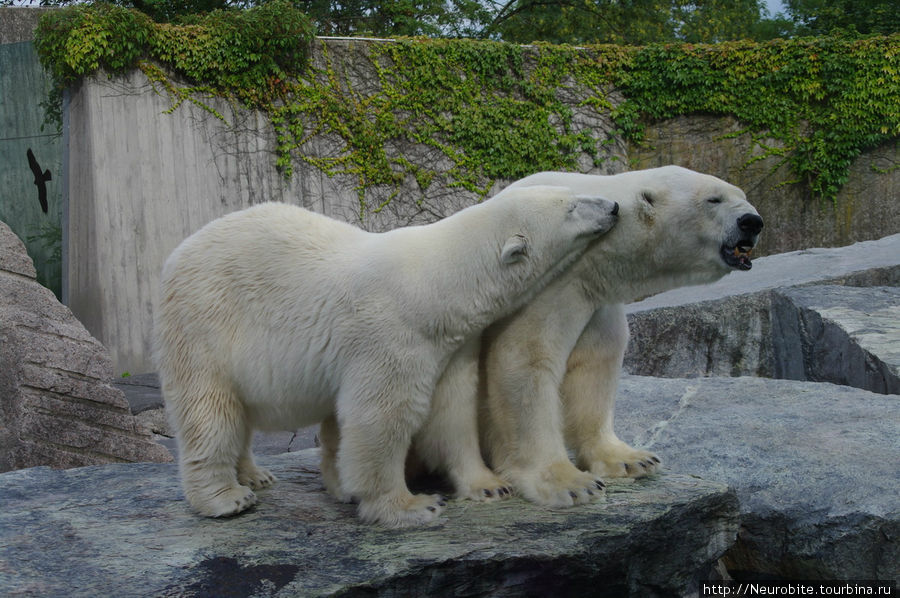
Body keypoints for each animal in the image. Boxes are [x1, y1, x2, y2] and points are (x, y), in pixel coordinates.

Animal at [156, 189, 620, 528]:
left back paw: (255, 473)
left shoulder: (452, 345)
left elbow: (452, 411)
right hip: (204, 323)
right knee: (210, 410)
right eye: (573, 205)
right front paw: (411, 506)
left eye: (575, 191)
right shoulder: (391, 336)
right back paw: (226, 498)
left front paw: (489, 485)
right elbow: (383, 417)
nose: (614, 206)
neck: (433, 285)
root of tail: (180, 251)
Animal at [426, 166, 764, 508]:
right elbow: (524, 360)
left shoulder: (594, 297)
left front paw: (633, 459)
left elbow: (596, 362)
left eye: (743, 195)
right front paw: (570, 483)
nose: (752, 222)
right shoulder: (542, 283)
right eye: (714, 199)